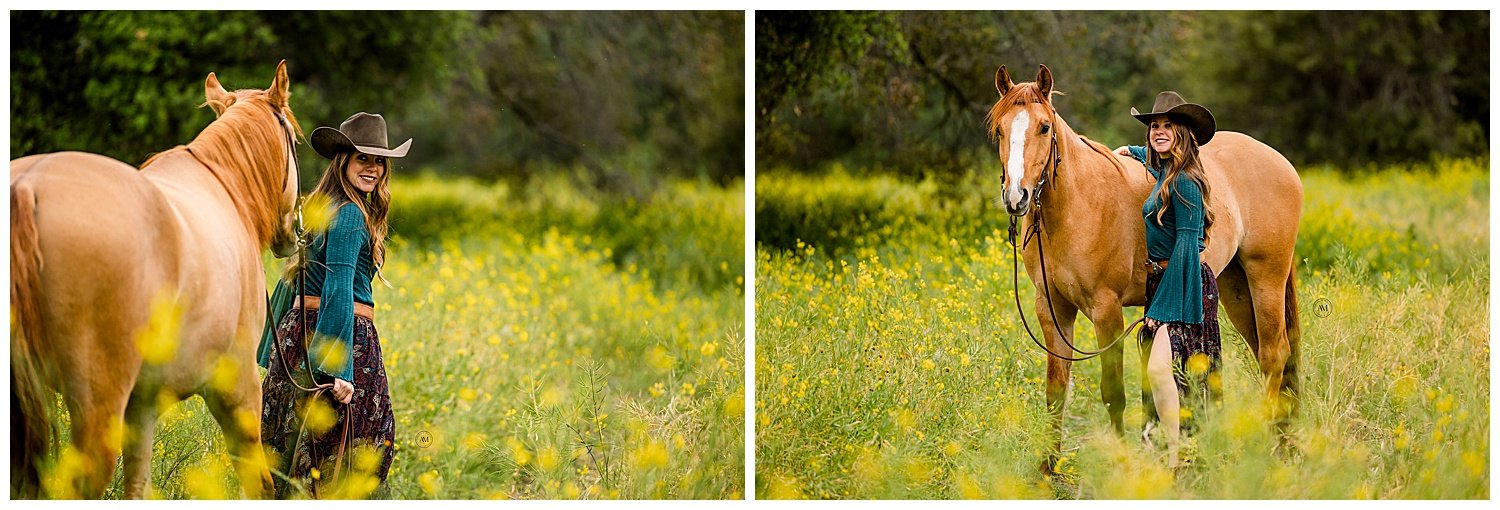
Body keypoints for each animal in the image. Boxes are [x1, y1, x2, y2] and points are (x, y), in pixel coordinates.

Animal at [12, 59, 301, 498]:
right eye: (295, 142)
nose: (294, 235)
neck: (225, 189)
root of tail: (28, 183)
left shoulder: (141, 406)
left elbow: (137, 485)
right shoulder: (238, 389)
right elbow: (259, 483)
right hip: (97, 410)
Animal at [984, 64, 1302, 474]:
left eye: (1044, 127)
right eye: (1000, 129)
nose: (1016, 197)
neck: (1077, 204)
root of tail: (1280, 161)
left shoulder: (1106, 311)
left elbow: (1113, 393)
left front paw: (1120, 462)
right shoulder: (1052, 309)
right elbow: (1056, 390)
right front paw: (1047, 467)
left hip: (1266, 278)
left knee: (1274, 353)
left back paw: (1267, 447)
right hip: (1236, 288)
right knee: (1264, 353)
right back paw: (1280, 440)